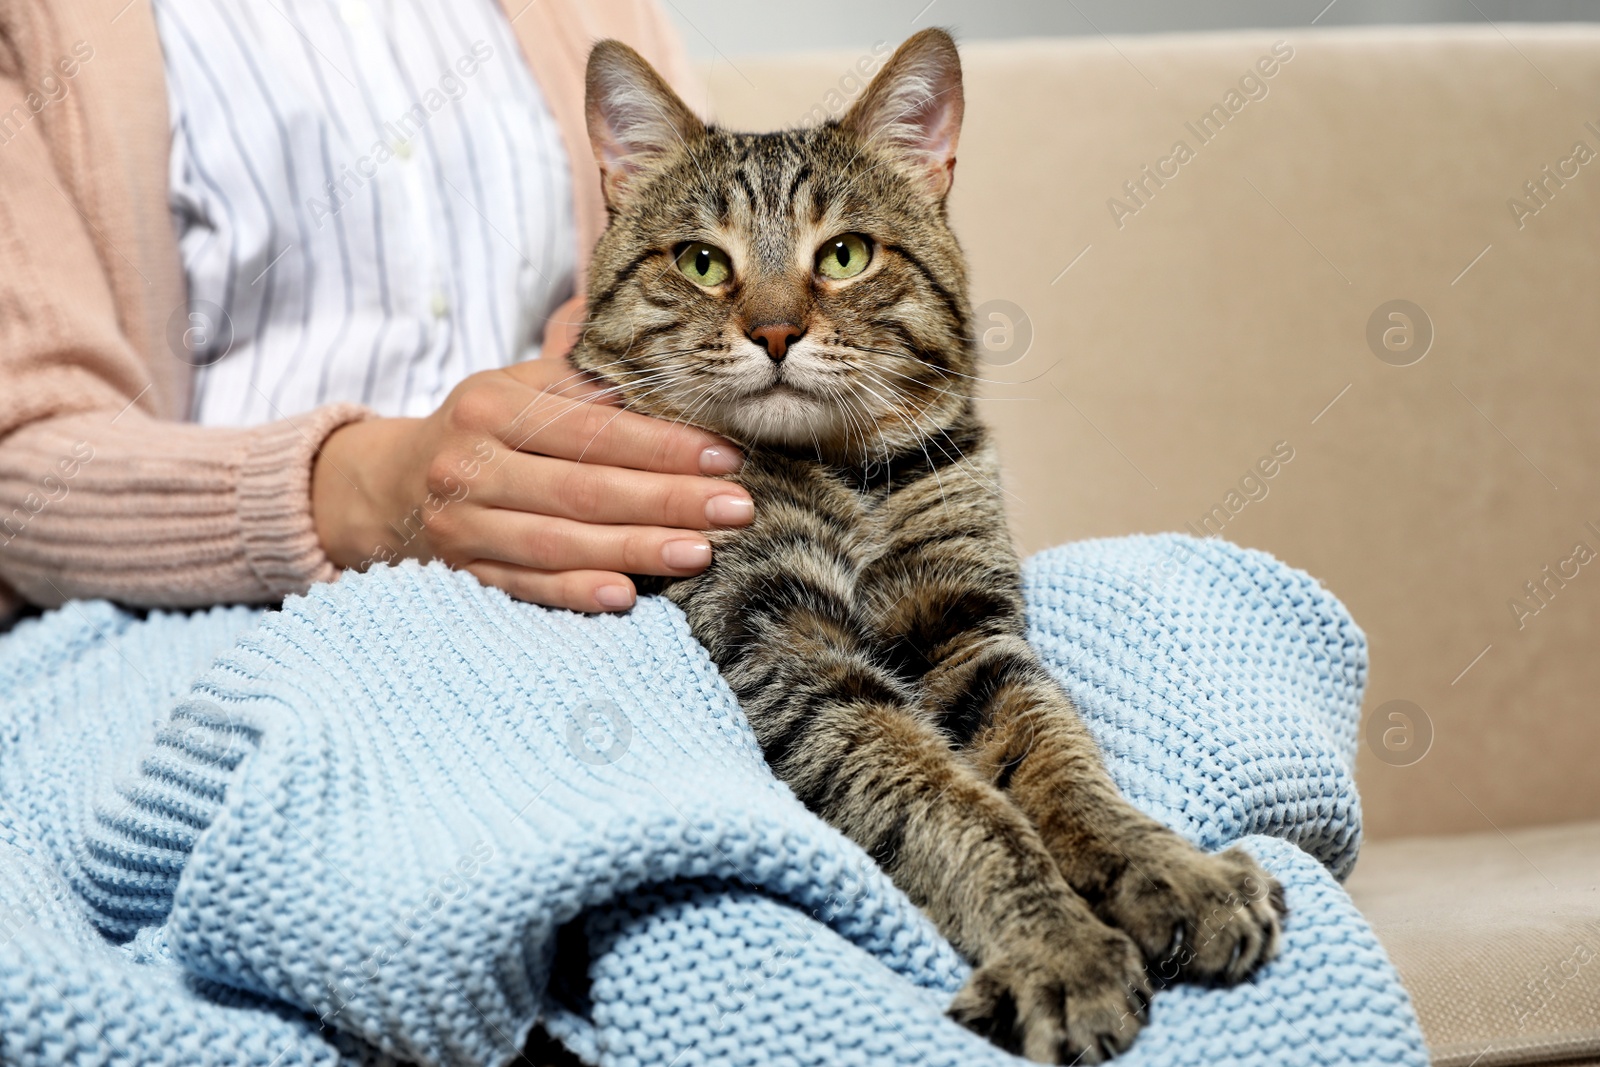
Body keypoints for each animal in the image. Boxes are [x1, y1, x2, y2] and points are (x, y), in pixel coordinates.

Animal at [576, 29, 1286, 1062]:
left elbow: (1063, 766)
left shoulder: (968, 628)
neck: (847, 480)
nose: (775, 330)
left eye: (845, 254)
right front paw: (1058, 945)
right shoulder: (792, 652)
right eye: (703, 263)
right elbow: (953, 802)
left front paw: (1172, 867)